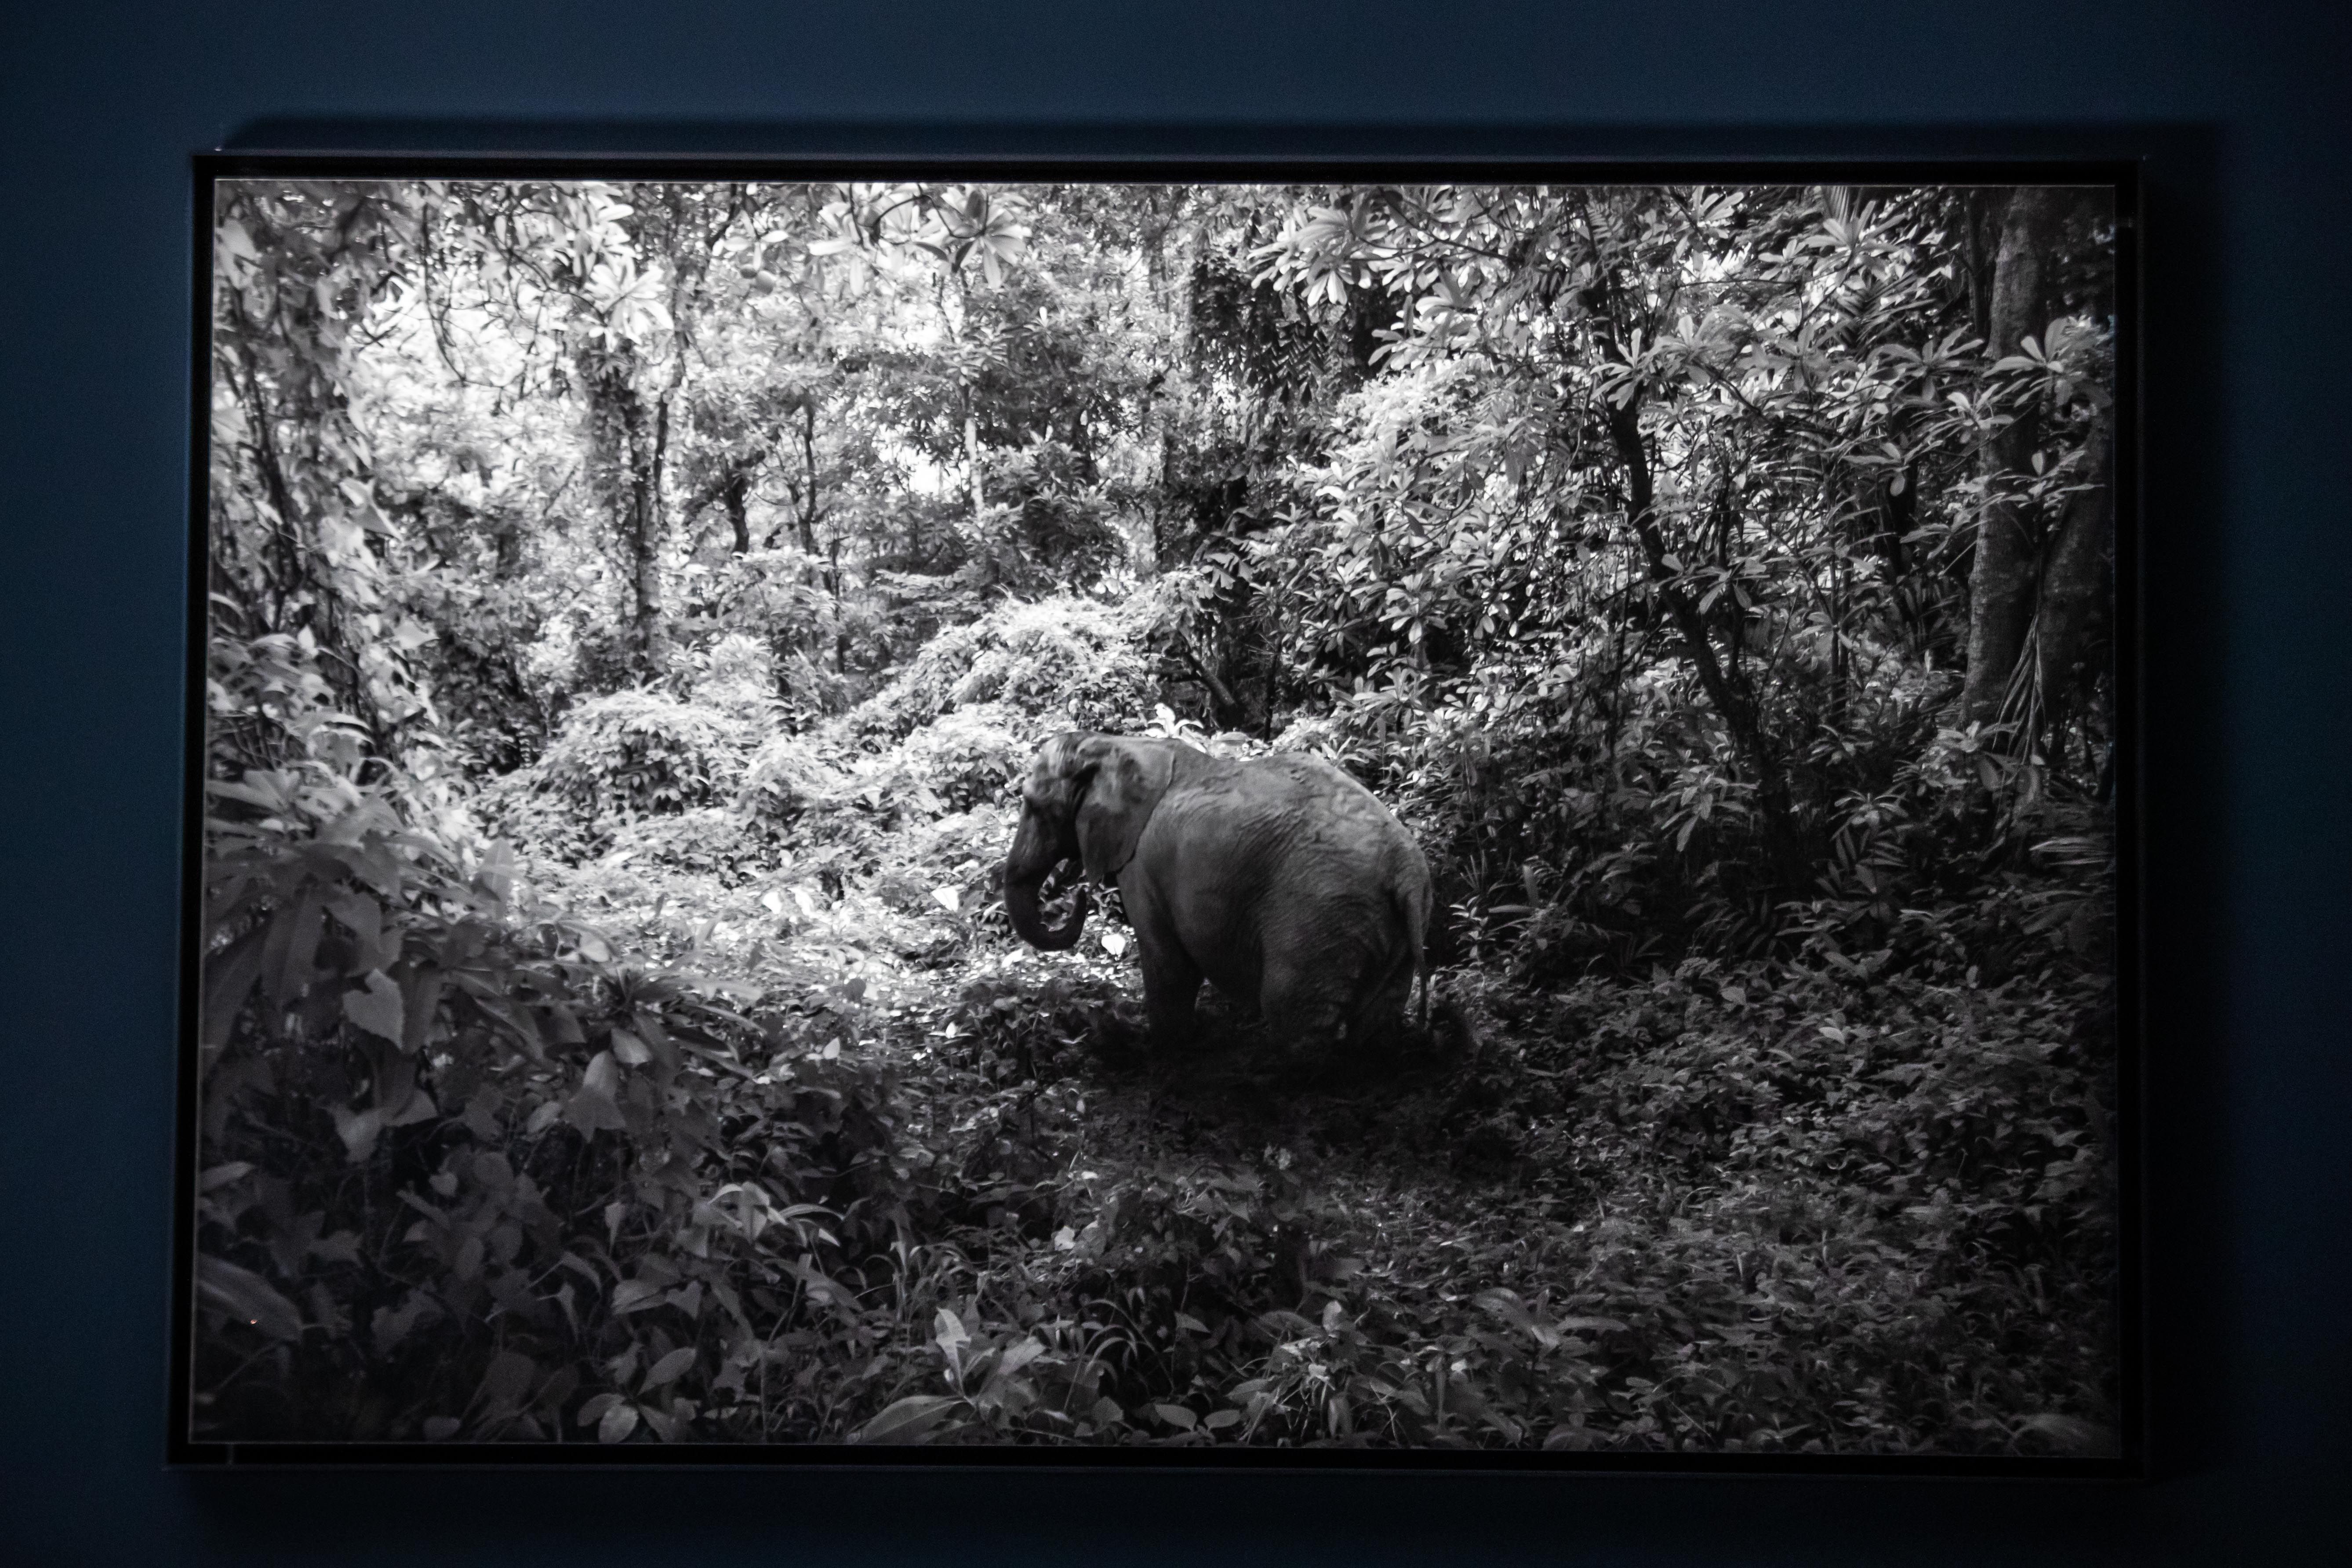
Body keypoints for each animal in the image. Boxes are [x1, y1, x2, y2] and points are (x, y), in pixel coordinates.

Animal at [1002, 732, 1434, 1057]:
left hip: (1322, 910)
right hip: (1386, 924)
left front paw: (1165, 1052)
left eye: (1033, 805)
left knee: (1290, 1013)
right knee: (1376, 1021)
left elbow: (1168, 963)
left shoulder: (1141, 863)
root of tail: (1406, 870)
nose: (1078, 895)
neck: (1117, 743)